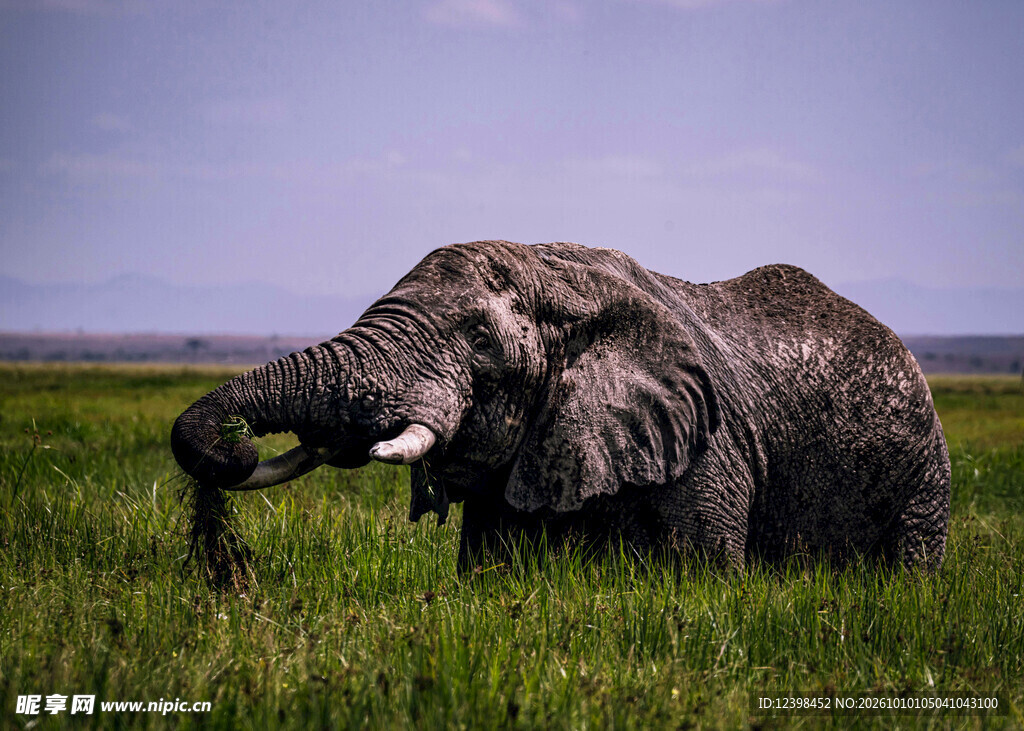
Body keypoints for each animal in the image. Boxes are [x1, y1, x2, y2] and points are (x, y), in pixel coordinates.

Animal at [171, 241, 951, 572]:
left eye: (481, 342)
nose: (235, 445)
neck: (550, 271)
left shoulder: (707, 449)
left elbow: (703, 570)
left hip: (923, 470)